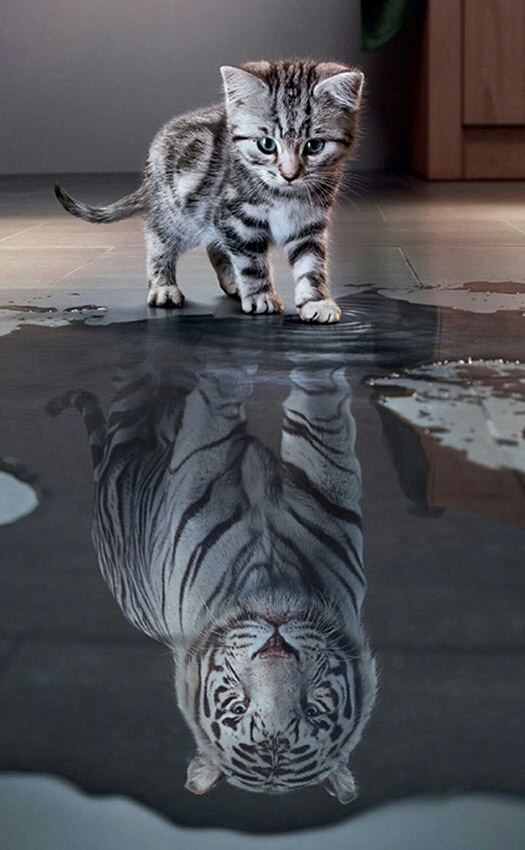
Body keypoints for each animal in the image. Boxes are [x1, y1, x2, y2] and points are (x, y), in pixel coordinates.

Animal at [47, 358, 377, 803]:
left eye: (311, 710)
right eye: (238, 708)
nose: (276, 646)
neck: (271, 579)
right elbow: (234, 408)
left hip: (130, 430)